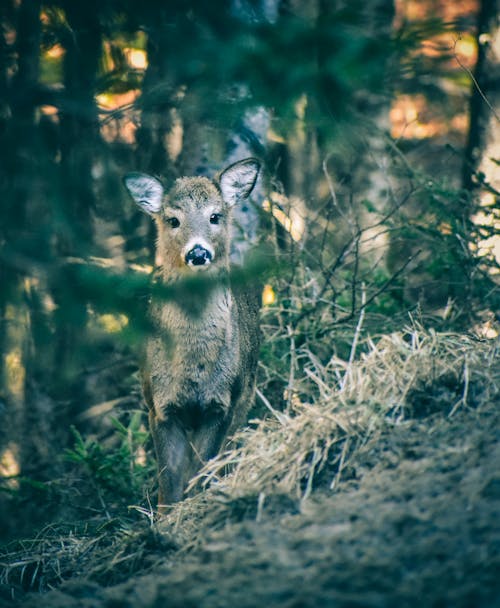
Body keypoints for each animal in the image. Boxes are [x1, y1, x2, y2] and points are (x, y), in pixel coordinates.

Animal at [123, 158, 262, 508]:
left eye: (215, 216)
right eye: (173, 219)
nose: (198, 253)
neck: (193, 369)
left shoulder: (223, 402)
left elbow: (203, 468)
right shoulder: (158, 404)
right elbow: (169, 479)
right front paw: (166, 517)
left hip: (247, 394)